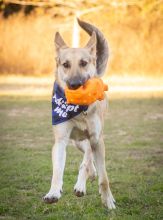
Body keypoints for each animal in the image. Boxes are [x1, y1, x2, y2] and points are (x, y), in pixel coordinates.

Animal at [42, 19, 115, 210]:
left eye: (83, 63)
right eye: (66, 65)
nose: (74, 85)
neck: (78, 110)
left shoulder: (97, 140)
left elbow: (104, 178)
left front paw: (108, 201)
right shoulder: (61, 141)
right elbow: (57, 171)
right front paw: (53, 192)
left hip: (90, 141)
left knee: (86, 161)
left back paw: (82, 184)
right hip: (77, 142)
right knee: (86, 161)